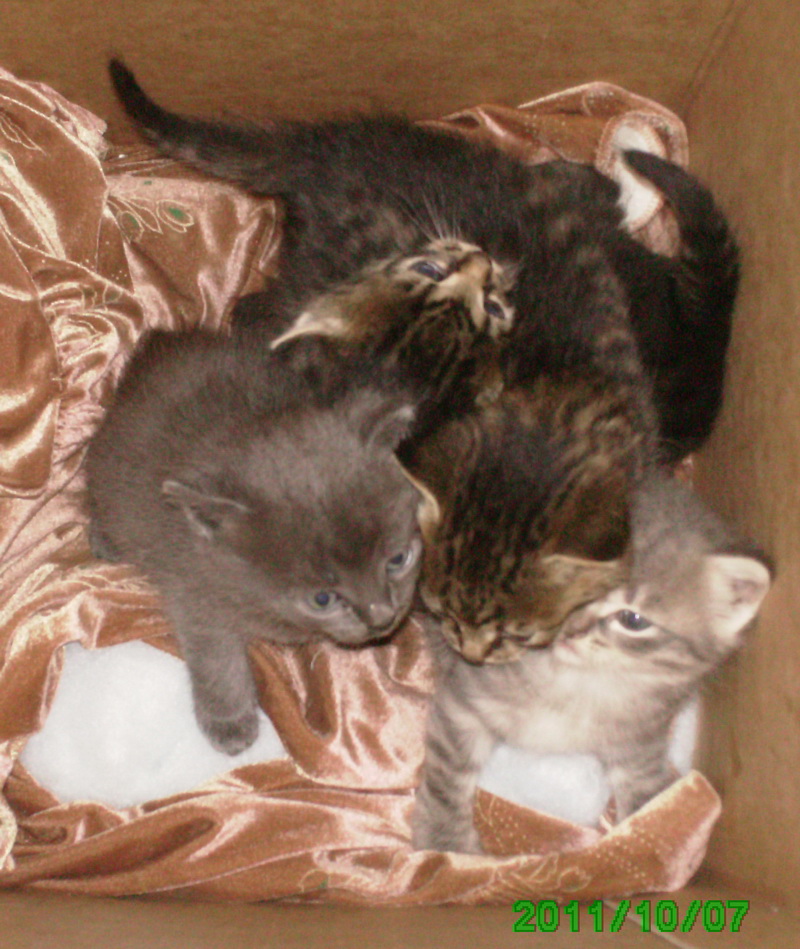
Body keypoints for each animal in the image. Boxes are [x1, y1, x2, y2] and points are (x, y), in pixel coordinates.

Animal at [85, 330, 422, 754]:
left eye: (398, 559)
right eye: (322, 599)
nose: (382, 617)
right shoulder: (193, 587)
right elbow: (216, 657)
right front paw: (229, 720)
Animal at [411, 473, 772, 852]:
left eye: (632, 620)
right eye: (566, 590)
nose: (570, 631)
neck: (579, 683)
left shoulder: (641, 742)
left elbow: (651, 802)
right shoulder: (463, 701)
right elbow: (447, 777)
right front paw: (444, 841)